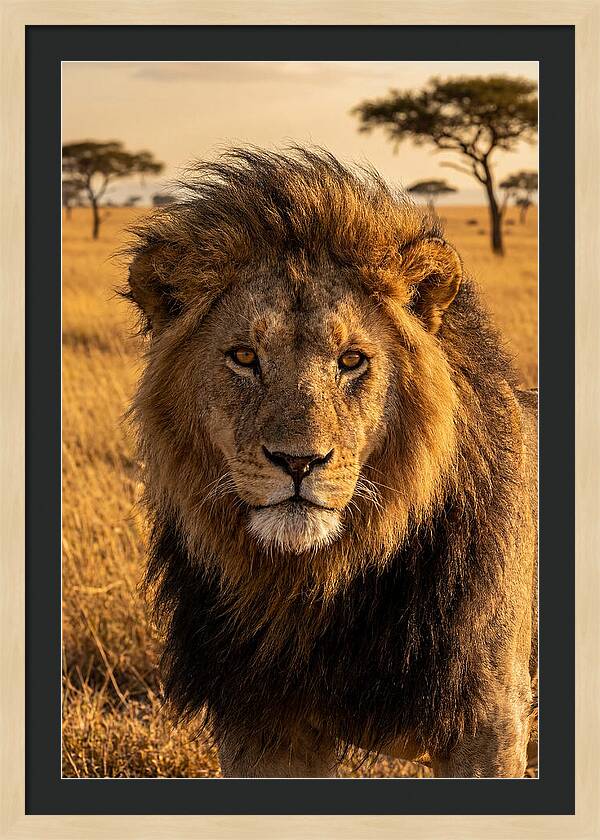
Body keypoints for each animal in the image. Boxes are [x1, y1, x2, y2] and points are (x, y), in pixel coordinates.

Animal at [124, 147, 538, 778]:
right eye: (244, 356)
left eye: (352, 360)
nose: (298, 462)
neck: (315, 586)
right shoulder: (260, 725)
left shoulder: (489, 721)